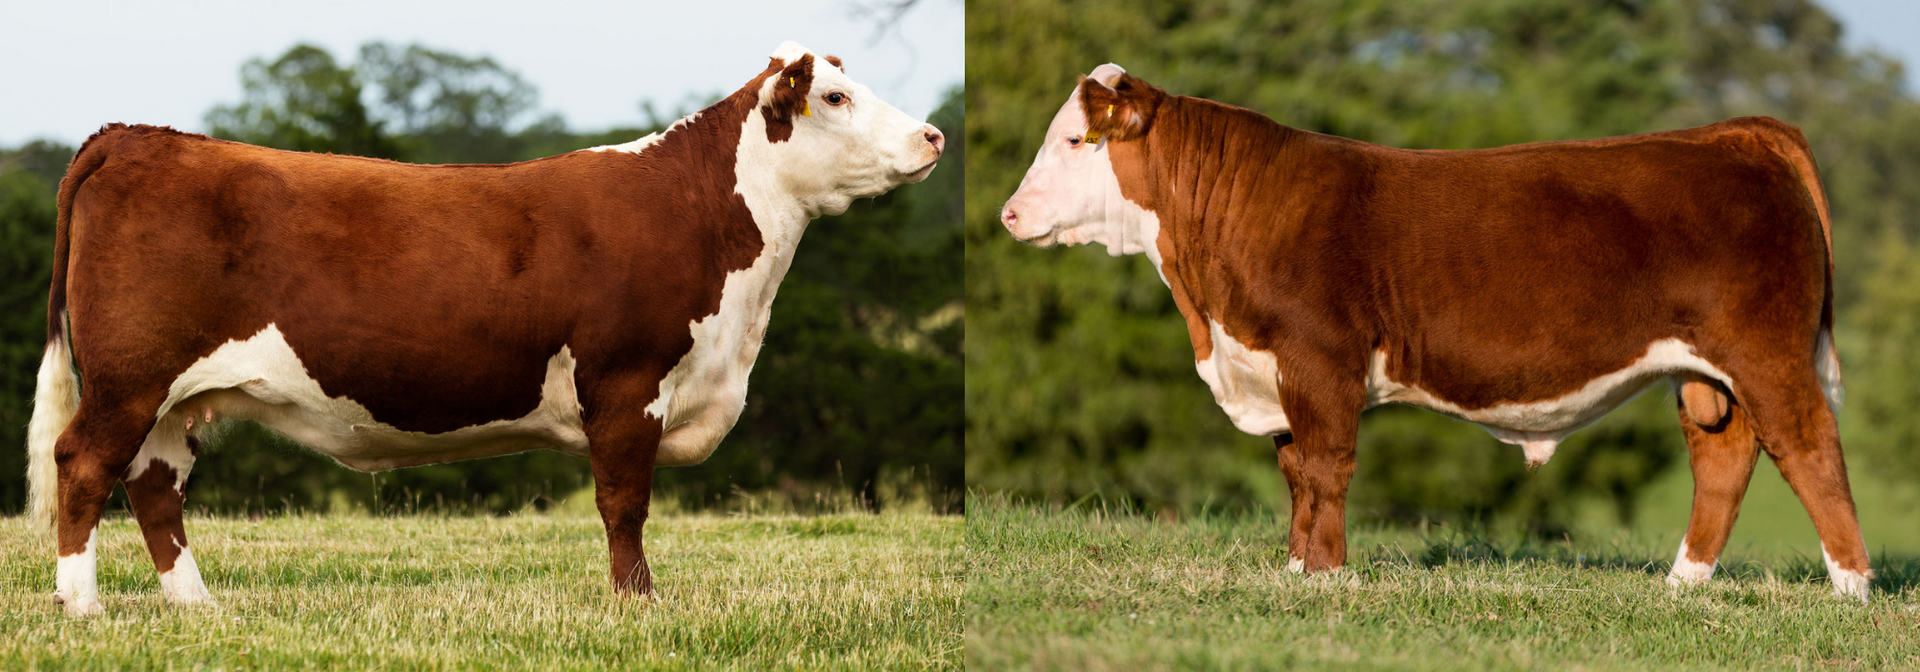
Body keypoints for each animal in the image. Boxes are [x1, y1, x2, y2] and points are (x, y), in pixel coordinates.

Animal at [25, 42, 945, 617]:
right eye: (836, 97)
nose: (933, 135)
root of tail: (135, 136)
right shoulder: (626, 385)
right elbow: (624, 504)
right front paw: (639, 605)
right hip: (129, 379)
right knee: (83, 466)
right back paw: (84, 606)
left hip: (175, 399)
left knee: (155, 488)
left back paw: (198, 607)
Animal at [998, 64, 1873, 601]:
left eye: (1075, 140)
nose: (1008, 214)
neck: (1207, 312)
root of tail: (1733, 133)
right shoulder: (1272, 369)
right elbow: (1294, 474)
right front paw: (1294, 570)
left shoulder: (1320, 360)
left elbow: (1326, 469)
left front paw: (1326, 577)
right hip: (1704, 373)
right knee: (1723, 457)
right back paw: (1682, 585)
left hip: (1766, 352)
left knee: (1810, 447)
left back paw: (1852, 588)